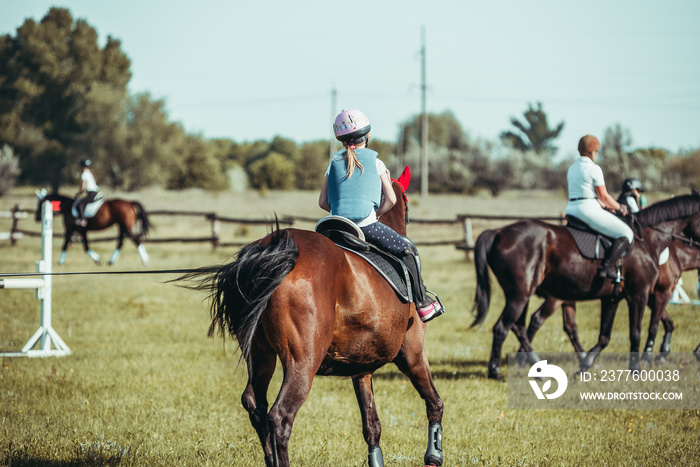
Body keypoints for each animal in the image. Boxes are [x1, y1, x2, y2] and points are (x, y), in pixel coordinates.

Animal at [179, 168, 442, 467]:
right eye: (407, 204)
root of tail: (276, 249)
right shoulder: (412, 354)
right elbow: (434, 403)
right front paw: (434, 455)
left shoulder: (361, 370)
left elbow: (372, 425)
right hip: (303, 363)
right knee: (280, 417)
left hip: (260, 354)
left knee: (255, 404)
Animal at [470, 192, 700, 378]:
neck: (648, 241)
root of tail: (498, 232)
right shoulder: (643, 293)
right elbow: (640, 330)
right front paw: (637, 368)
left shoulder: (613, 298)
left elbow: (605, 336)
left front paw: (585, 366)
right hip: (522, 296)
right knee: (504, 328)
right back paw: (496, 371)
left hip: (524, 296)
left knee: (520, 328)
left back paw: (538, 368)